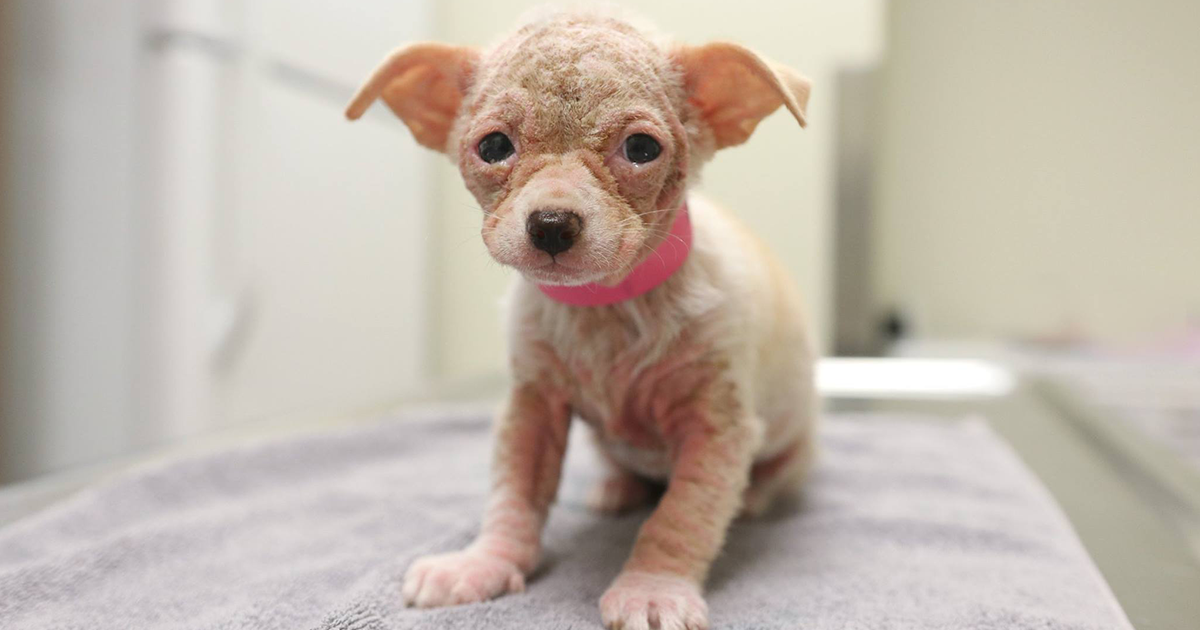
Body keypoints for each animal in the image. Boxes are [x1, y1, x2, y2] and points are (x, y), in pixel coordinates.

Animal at [346, 8, 815, 629]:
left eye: (640, 148)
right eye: (493, 146)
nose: (550, 224)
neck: (603, 309)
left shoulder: (717, 427)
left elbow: (682, 514)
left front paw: (652, 587)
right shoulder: (533, 407)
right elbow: (513, 495)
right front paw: (484, 563)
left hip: (791, 439)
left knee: (774, 474)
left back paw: (756, 498)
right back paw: (617, 487)